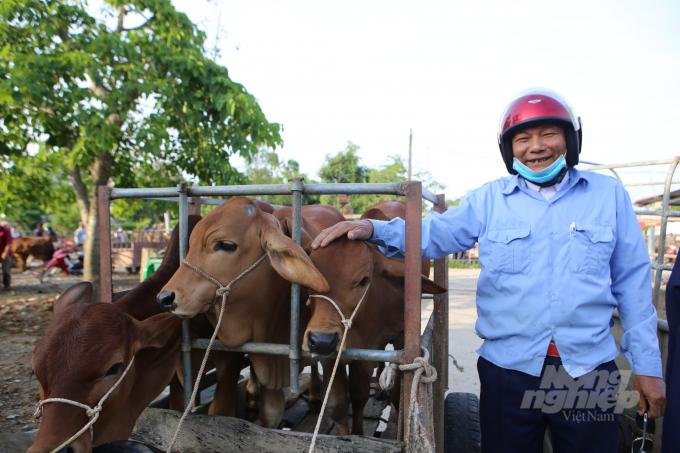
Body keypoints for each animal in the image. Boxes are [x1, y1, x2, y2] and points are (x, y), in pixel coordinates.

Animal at [304, 206, 446, 434]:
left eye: (364, 280)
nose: (322, 340)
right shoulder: (338, 354)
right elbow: (343, 402)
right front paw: (351, 435)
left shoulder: (401, 339)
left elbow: (392, 393)